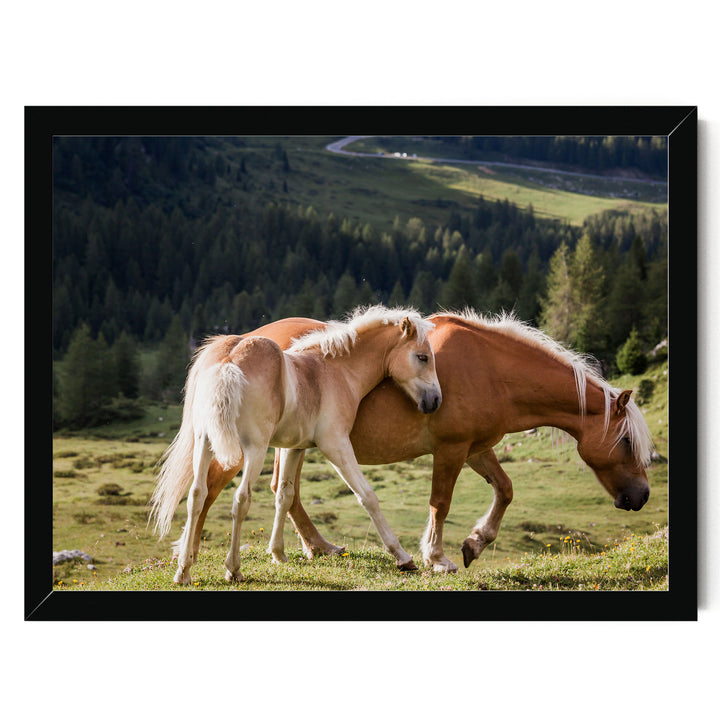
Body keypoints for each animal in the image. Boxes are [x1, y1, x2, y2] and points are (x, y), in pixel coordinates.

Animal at [149, 305, 442, 584]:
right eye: (422, 357)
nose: (435, 400)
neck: (334, 370)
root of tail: (228, 361)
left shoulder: (293, 447)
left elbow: (284, 495)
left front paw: (277, 553)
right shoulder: (336, 445)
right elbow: (367, 496)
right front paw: (402, 557)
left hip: (204, 442)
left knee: (197, 495)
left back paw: (184, 571)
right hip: (253, 449)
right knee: (240, 499)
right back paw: (233, 569)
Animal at [167, 309, 655, 573]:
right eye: (626, 443)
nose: (642, 497)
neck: (492, 370)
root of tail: (236, 345)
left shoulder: (477, 448)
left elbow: (505, 489)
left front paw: (475, 542)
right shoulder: (452, 450)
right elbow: (440, 502)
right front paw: (437, 556)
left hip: (292, 444)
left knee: (282, 492)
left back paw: (316, 547)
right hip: (242, 446)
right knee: (213, 489)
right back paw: (192, 555)